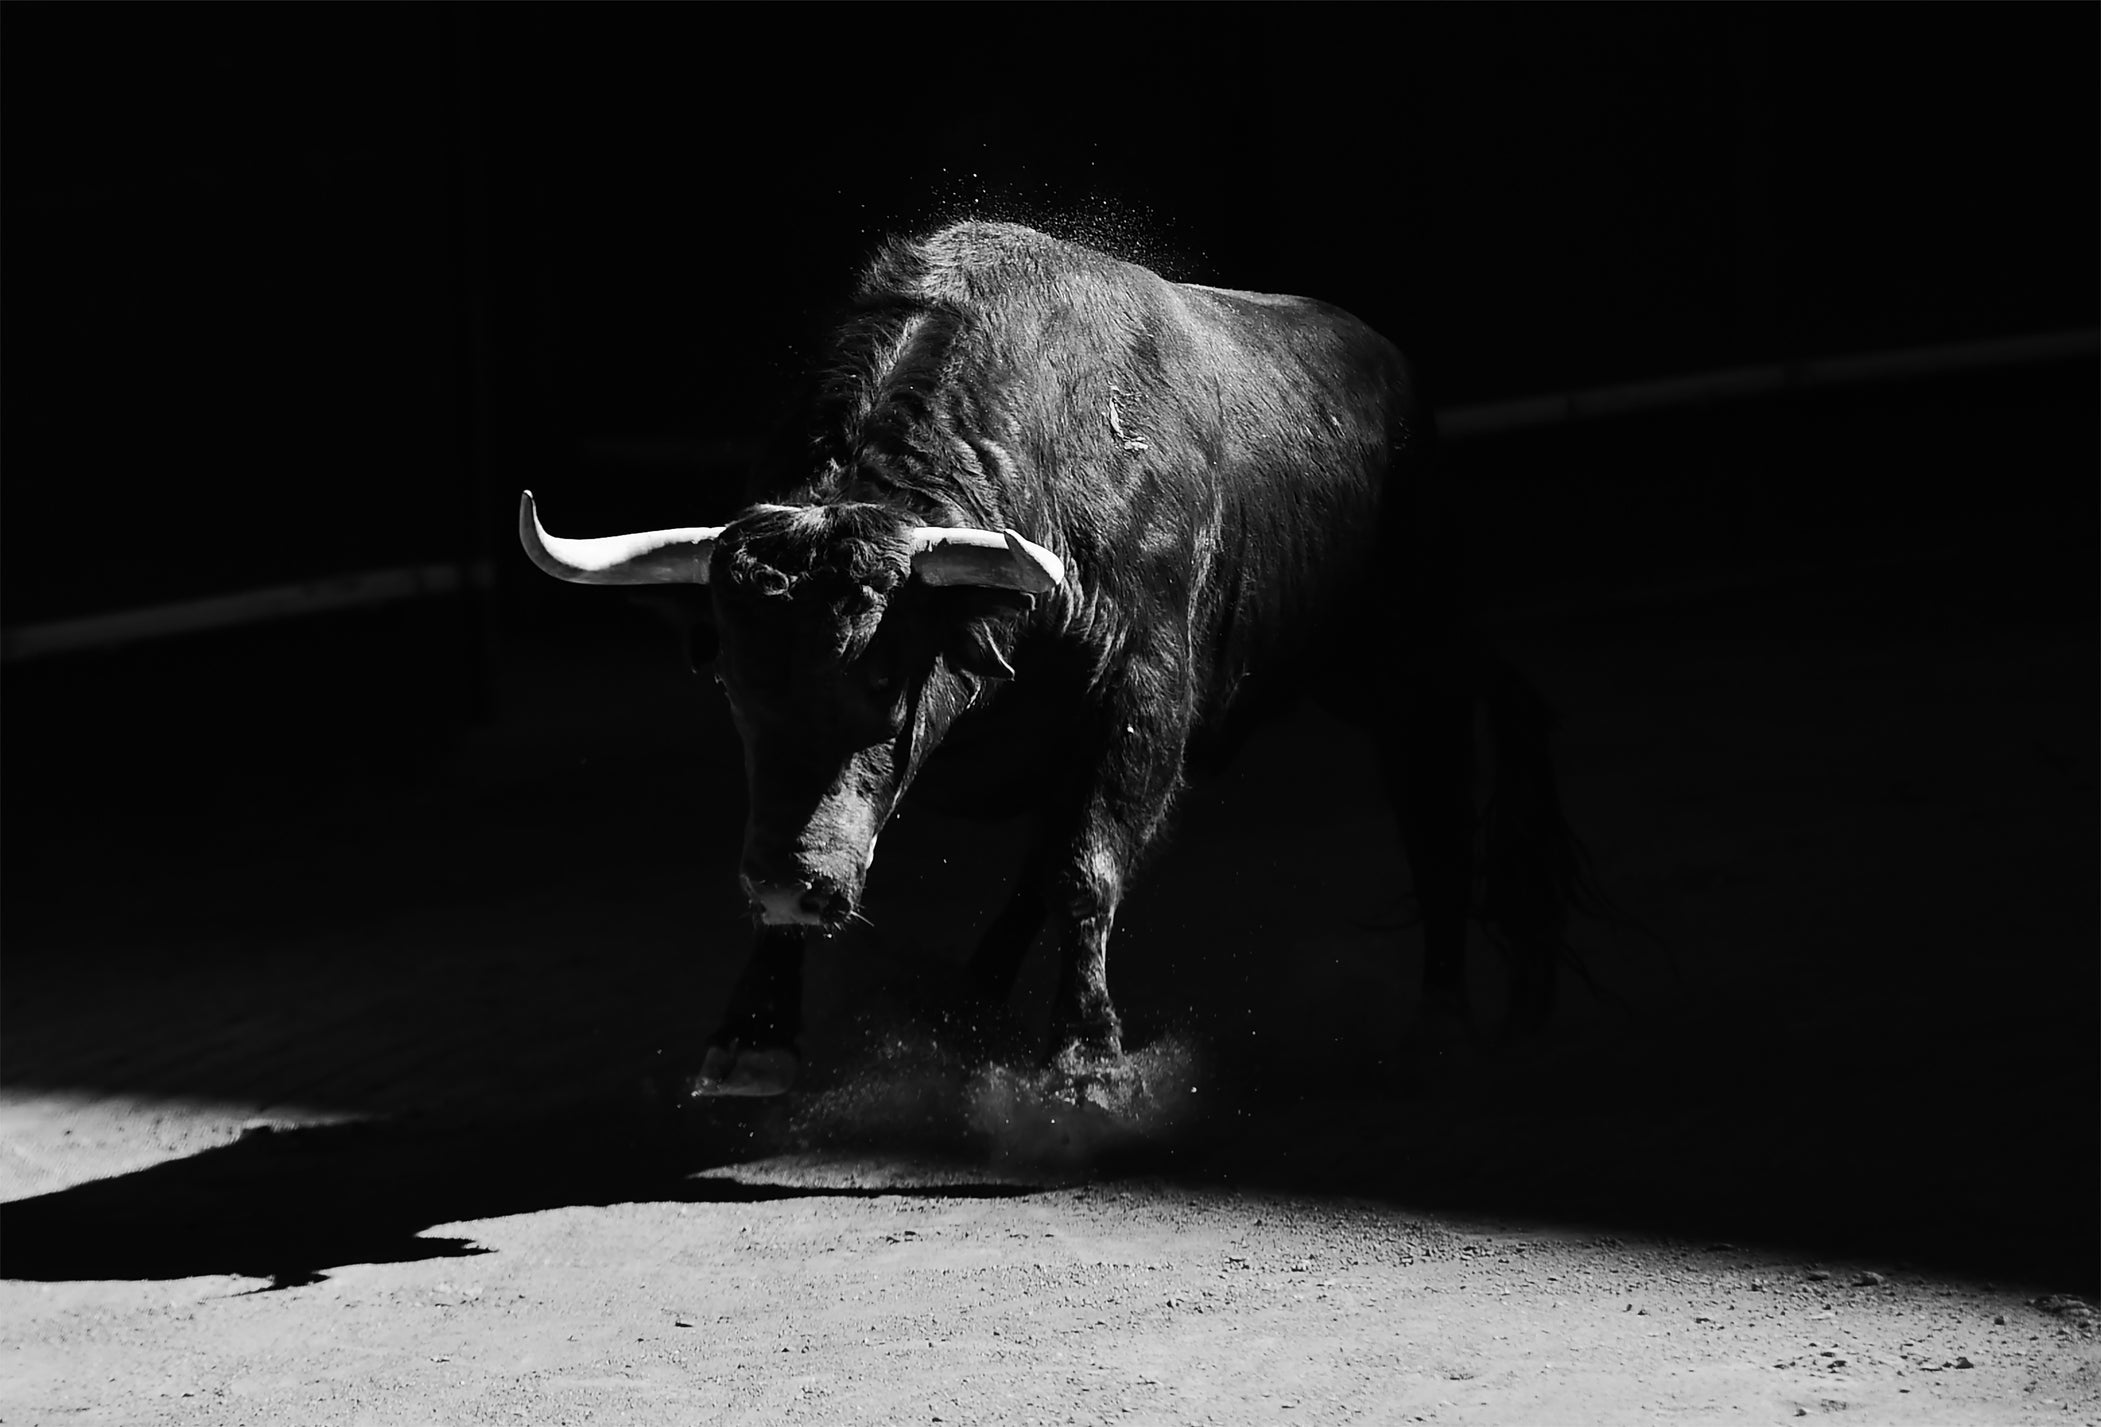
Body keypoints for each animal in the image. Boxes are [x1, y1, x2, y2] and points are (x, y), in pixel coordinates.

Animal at [519, 220, 1602, 1097]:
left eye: (883, 676)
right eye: (735, 687)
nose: (796, 886)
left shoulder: (1143, 698)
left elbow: (1086, 864)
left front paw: (1085, 1060)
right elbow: (1022, 857)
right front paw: (753, 1037)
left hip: (1409, 662)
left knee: (1437, 818)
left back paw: (1440, 1029)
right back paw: (965, 1001)